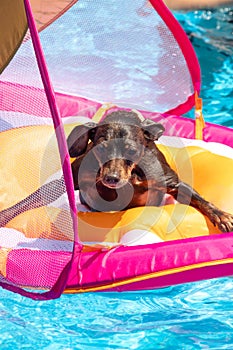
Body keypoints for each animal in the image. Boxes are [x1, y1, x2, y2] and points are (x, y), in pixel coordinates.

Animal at [0, 110, 233, 232]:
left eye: (131, 150)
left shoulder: (171, 182)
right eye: (101, 148)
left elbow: (200, 199)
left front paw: (221, 216)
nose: (111, 178)